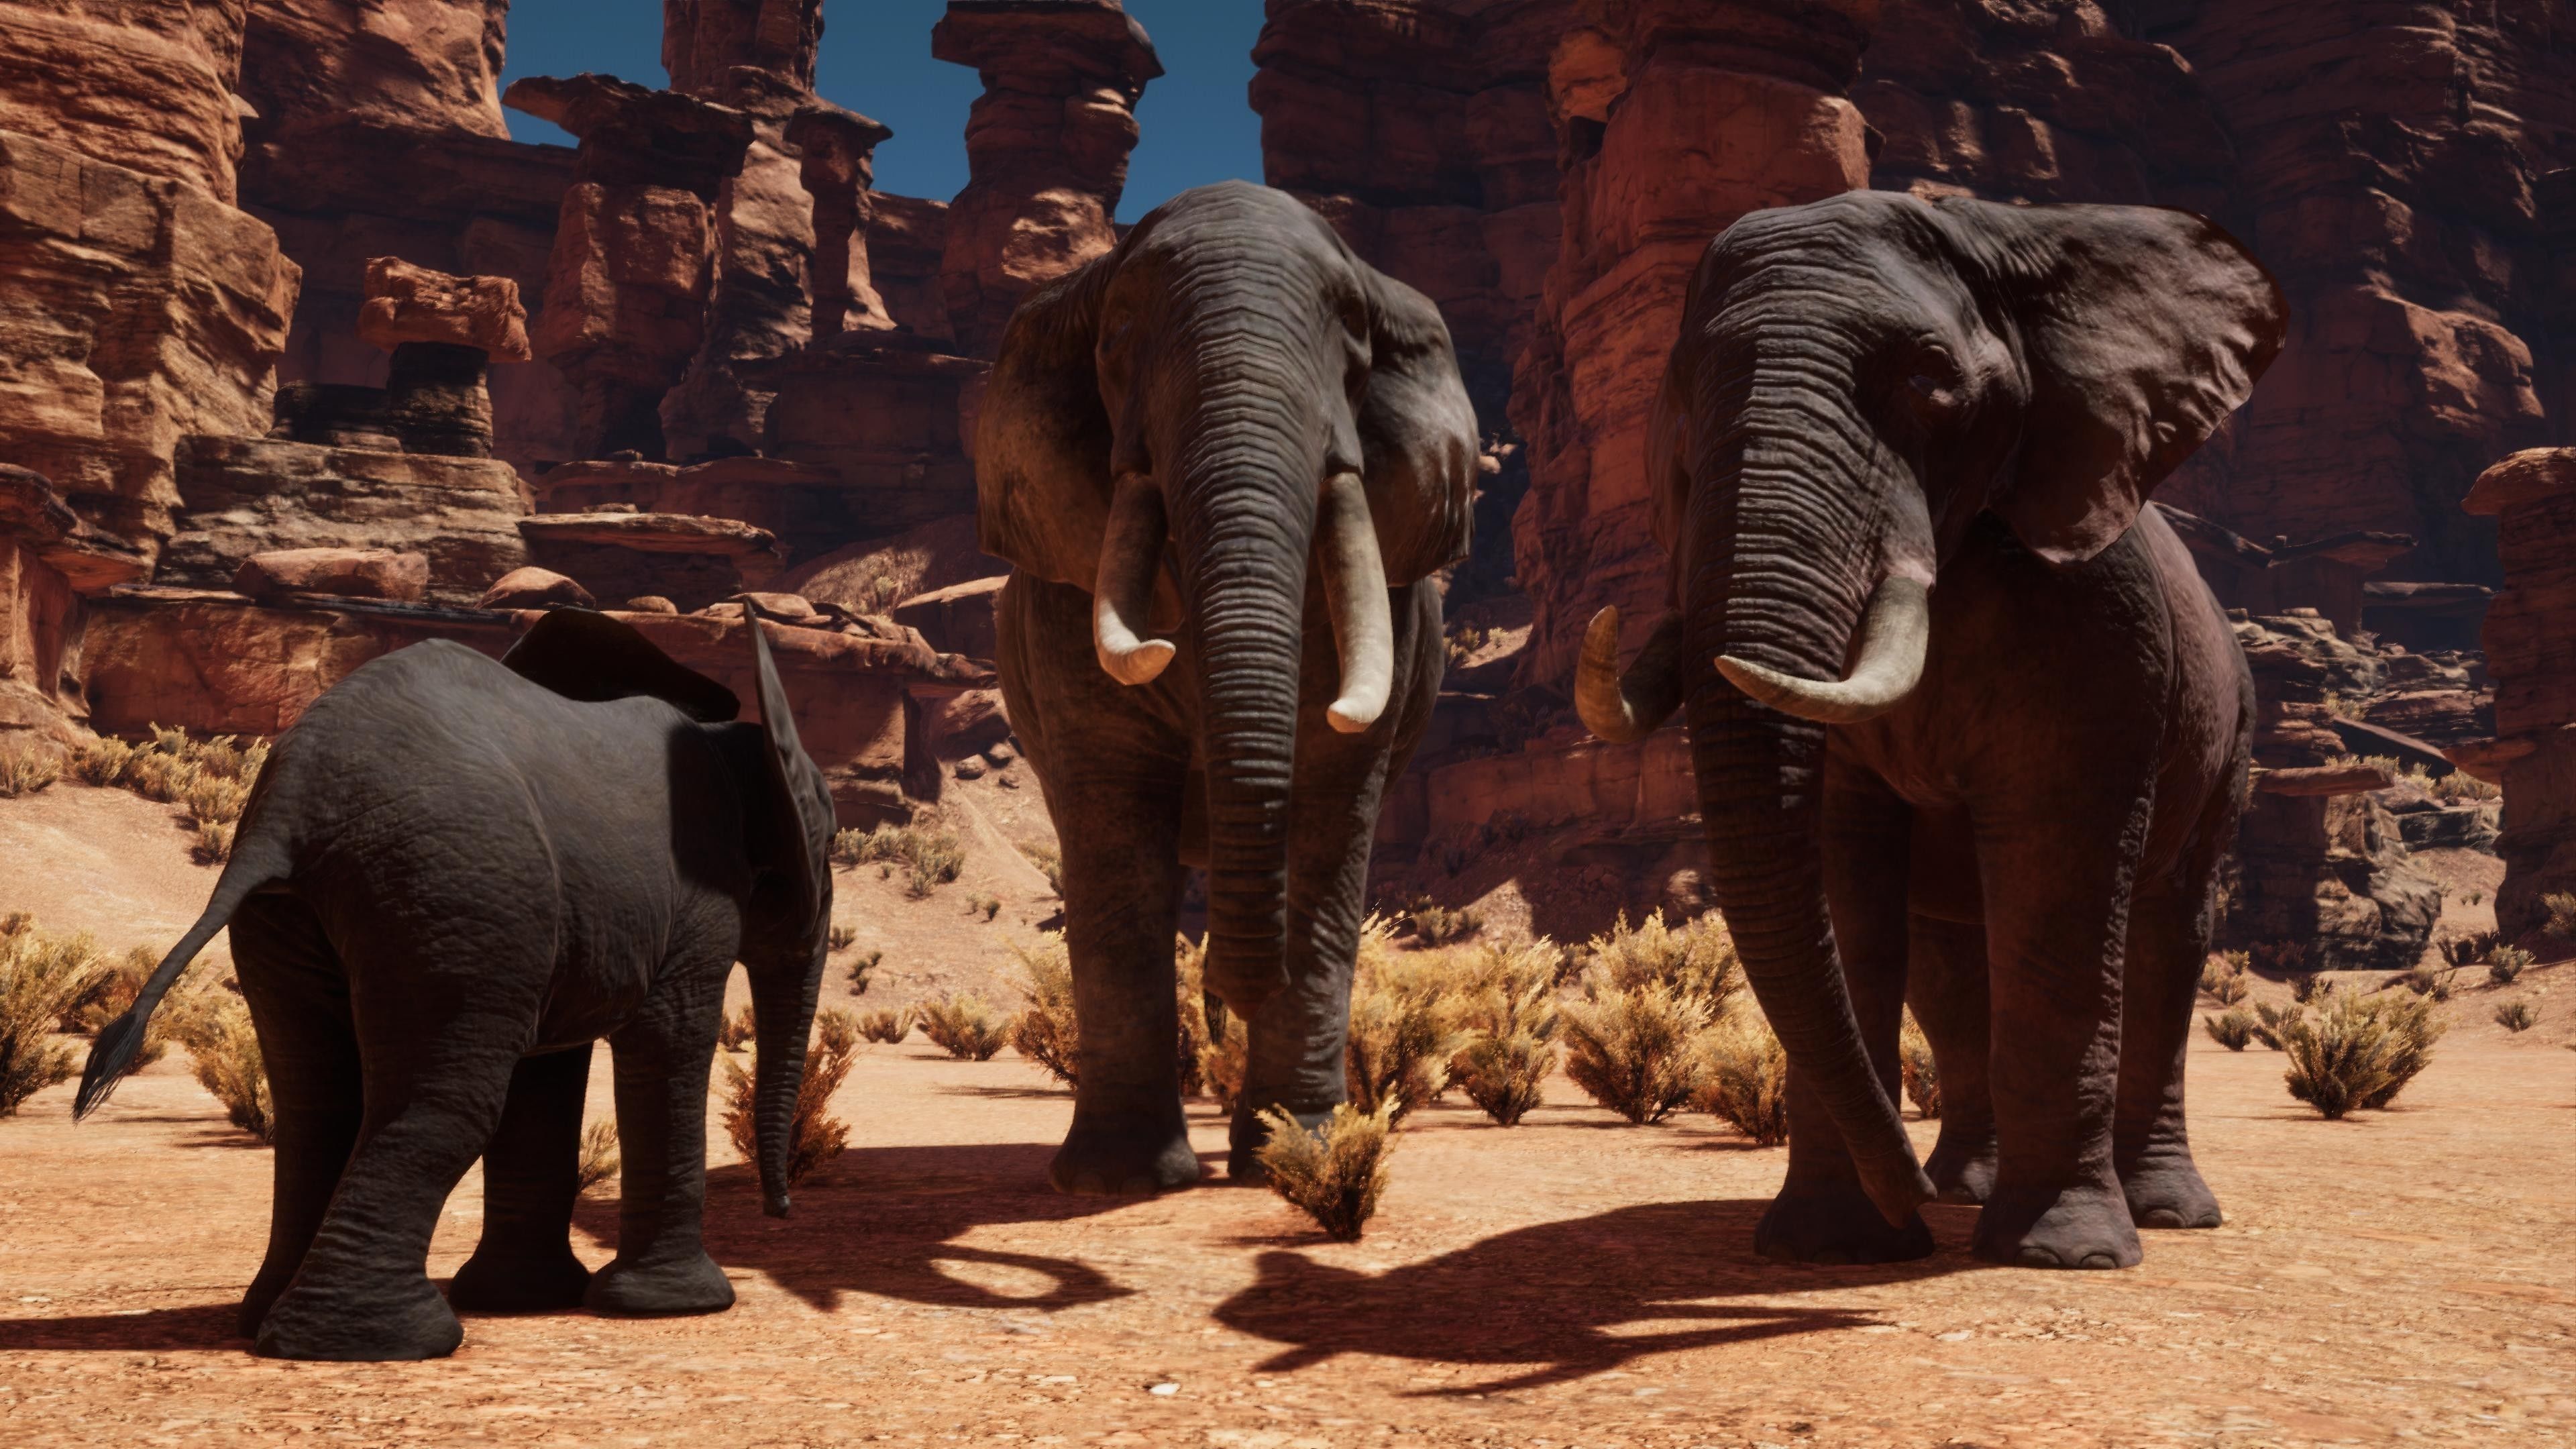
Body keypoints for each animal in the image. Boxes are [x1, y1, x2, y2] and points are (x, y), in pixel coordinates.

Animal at [76, 605, 838, 1359]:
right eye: (830, 843)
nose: (780, 1210)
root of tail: (286, 809)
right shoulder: (693, 897)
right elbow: (665, 1044)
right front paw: (678, 1307)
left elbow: (547, 1071)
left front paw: (524, 1301)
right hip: (451, 884)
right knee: (451, 1102)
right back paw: (384, 1342)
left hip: (331, 911)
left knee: (317, 1104)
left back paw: (271, 1323)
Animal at [975, 180, 1478, 1193]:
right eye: (1116, 338)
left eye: (1355, 339)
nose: (1236, 986)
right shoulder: (1060, 607)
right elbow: (1116, 848)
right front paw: (1121, 1180)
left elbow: (1331, 818)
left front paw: (1295, 1157)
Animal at [1578, 191, 2286, 1269]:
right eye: (1683, 388)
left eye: (1929, 379)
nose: (1904, 1191)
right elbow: (1845, 878)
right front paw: (1835, 1245)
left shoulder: (2104, 630)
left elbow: (2062, 874)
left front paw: (2066, 1256)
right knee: (1951, 974)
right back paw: (1961, 1189)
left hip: (2232, 728)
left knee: (2169, 938)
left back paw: (2160, 1211)